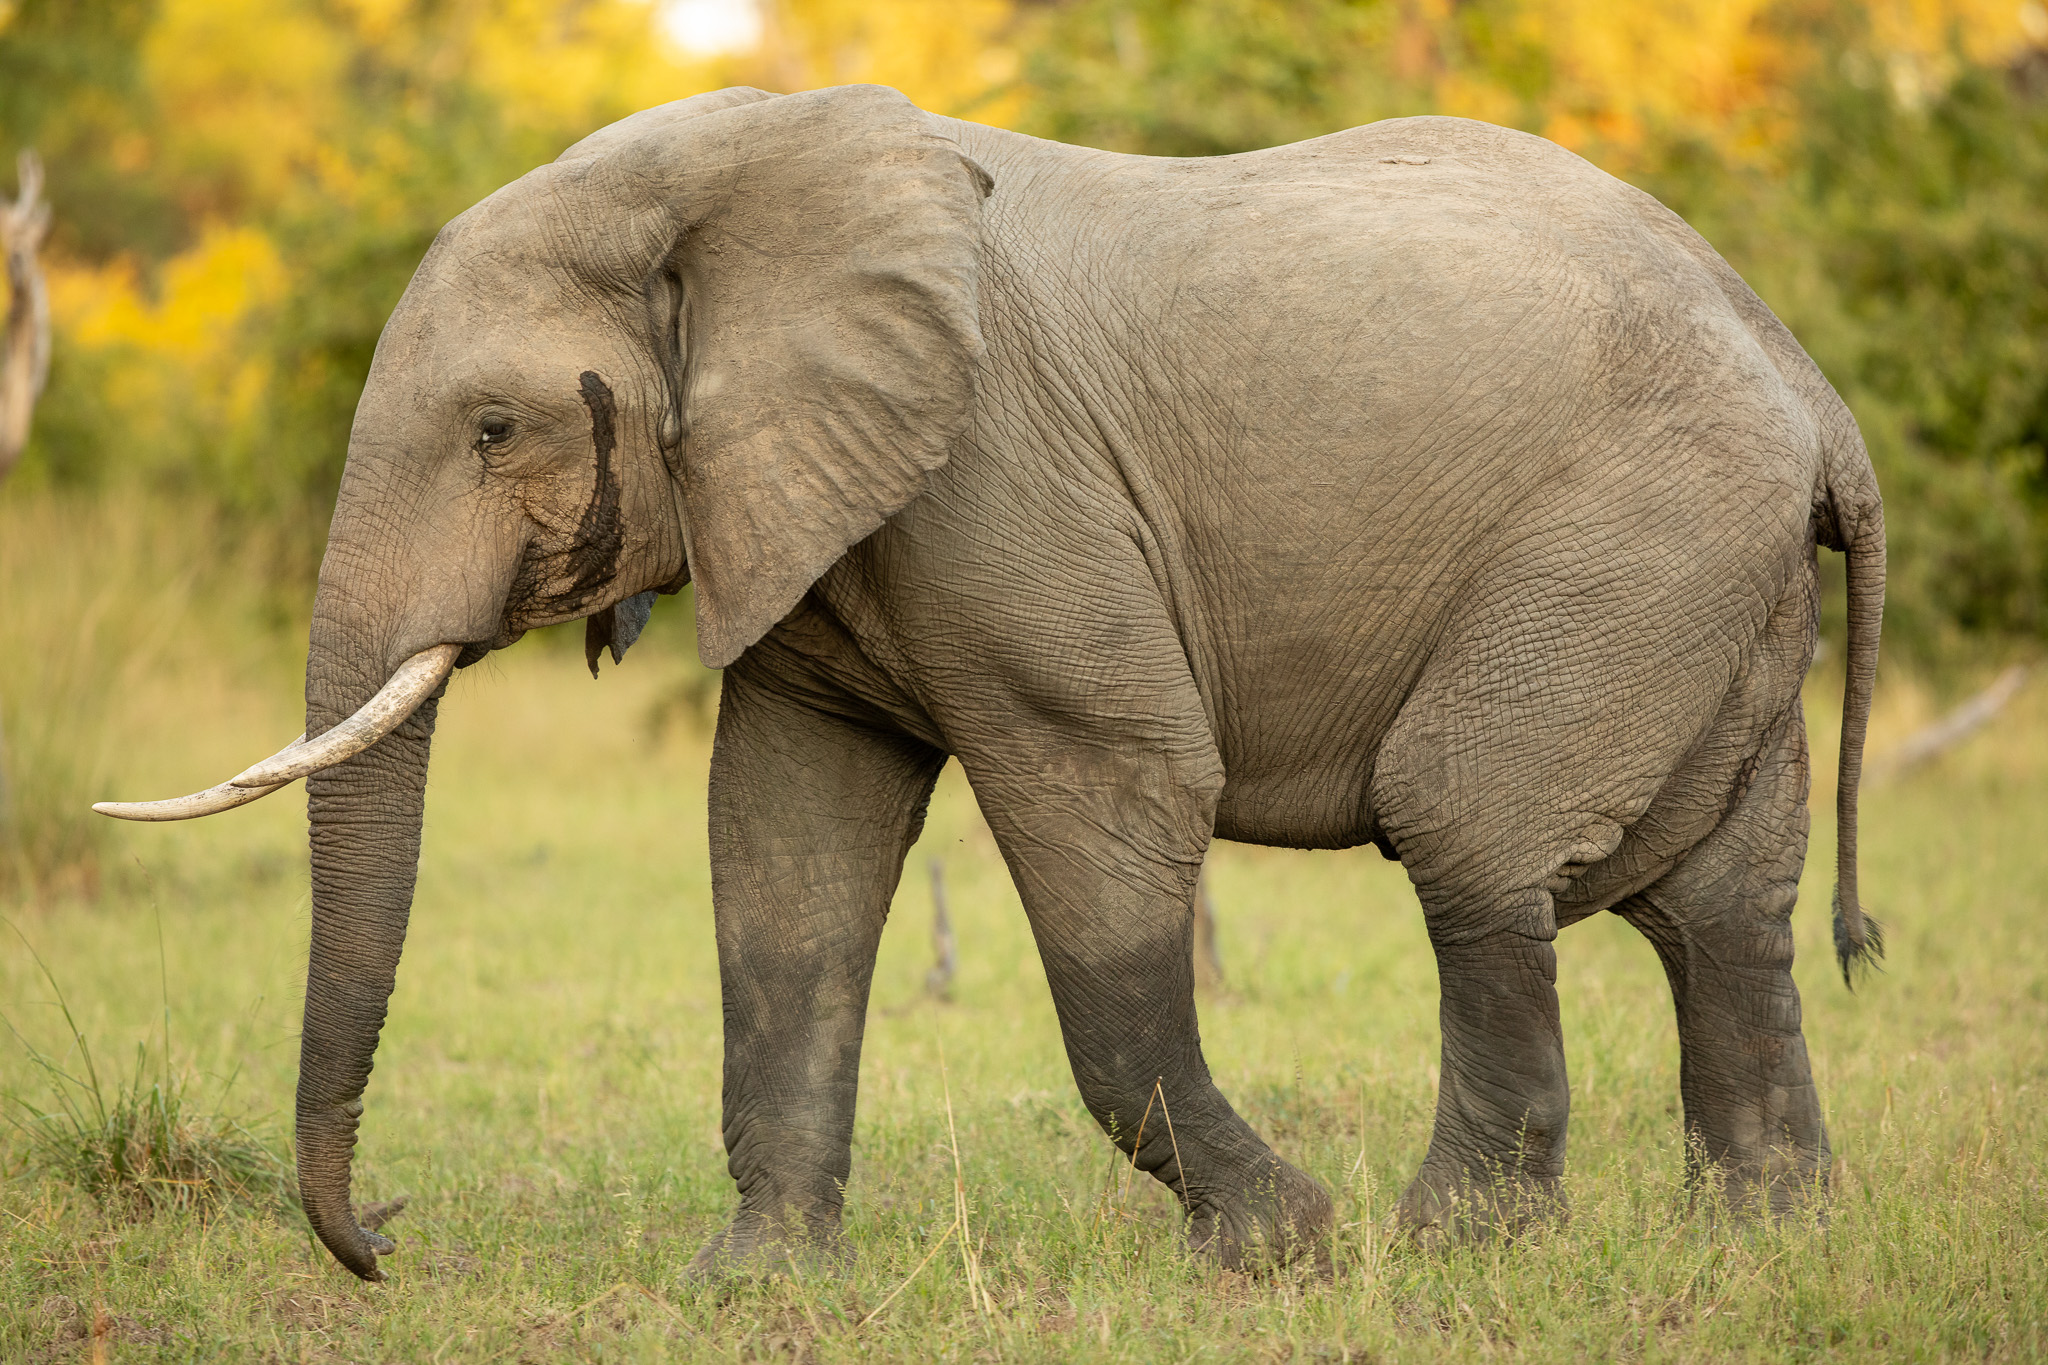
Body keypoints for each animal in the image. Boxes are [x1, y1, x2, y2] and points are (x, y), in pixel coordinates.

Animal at [103, 82, 1875, 1285]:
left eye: (492, 428)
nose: (389, 1239)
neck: (734, 172)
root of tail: (1808, 377)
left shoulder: (1001, 480)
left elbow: (1114, 794)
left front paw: (1282, 1249)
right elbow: (784, 844)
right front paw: (756, 1286)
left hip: (1631, 540)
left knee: (1471, 827)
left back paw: (1454, 1248)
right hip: (1707, 578)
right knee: (1715, 900)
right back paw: (1765, 1239)